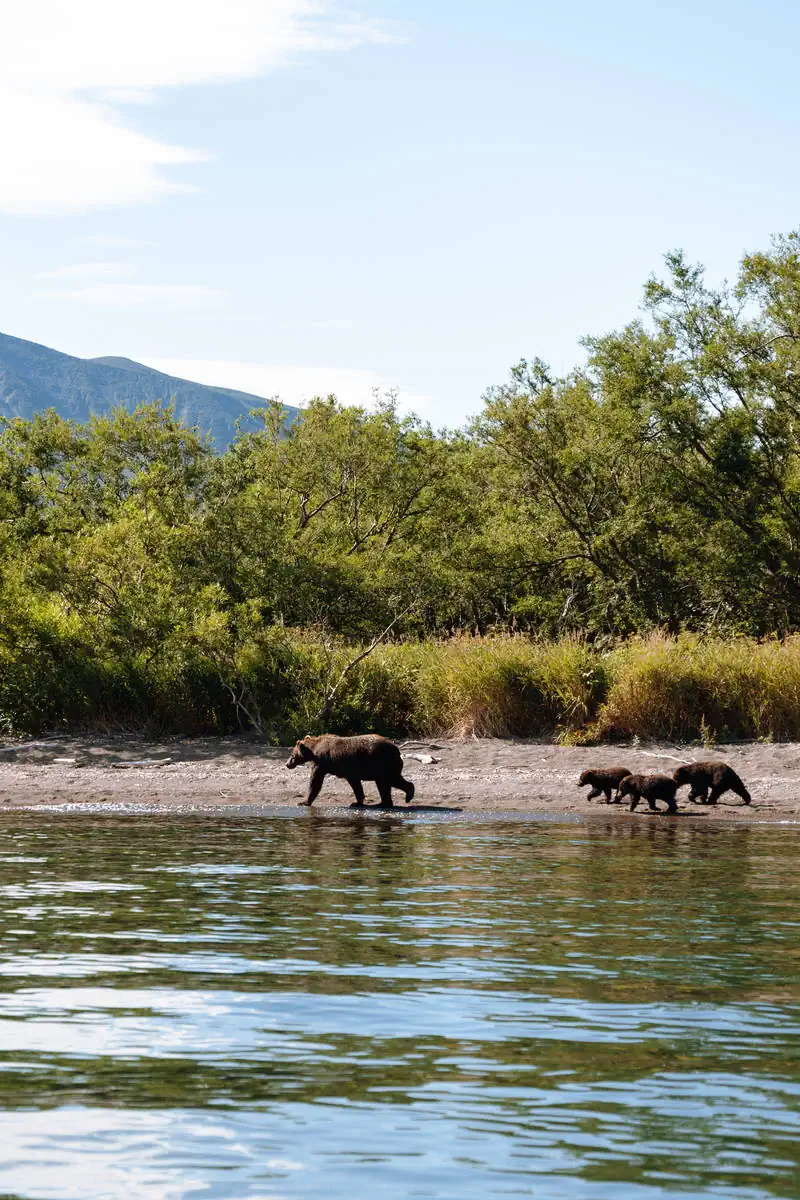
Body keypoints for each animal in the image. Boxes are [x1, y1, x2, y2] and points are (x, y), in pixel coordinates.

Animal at [287, 729, 417, 806]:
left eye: (292, 754)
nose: (287, 764)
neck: (314, 751)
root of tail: (397, 749)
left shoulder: (322, 762)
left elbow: (315, 781)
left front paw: (304, 801)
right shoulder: (349, 770)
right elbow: (355, 784)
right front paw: (358, 801)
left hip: (382, 762)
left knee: (390, 780)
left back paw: (407, 794)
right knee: (386, 783)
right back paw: (385, 802)